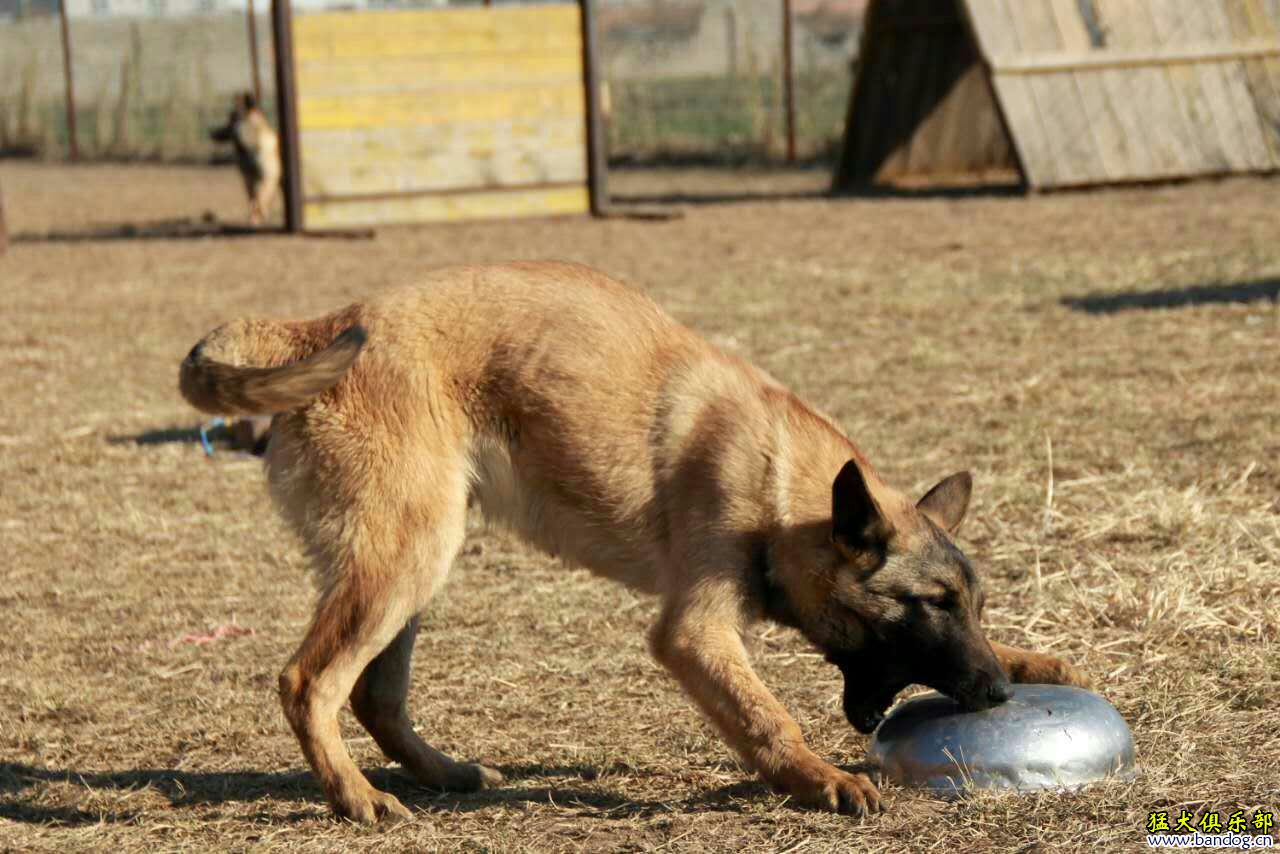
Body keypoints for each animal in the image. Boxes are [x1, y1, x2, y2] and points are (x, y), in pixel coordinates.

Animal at [175, 263, 1085, 824]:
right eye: (926, 605)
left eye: (971, 605)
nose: (1000, 695)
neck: (783, 489)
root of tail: (325, 324)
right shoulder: (693, 633)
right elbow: (768, 718)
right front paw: (822, 778)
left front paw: (1037, 658)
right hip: (407, 558)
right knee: (309, 683)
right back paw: (356, 797)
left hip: (415, 565)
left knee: (374, 696)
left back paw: (444, 775)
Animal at [208, 92, 279, 225]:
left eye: (231, 118)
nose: (212, 133)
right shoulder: (248, 180)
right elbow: (253, 201)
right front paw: (254, 219)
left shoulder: (267, 179)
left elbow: (260, 201)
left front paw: (260, 216)